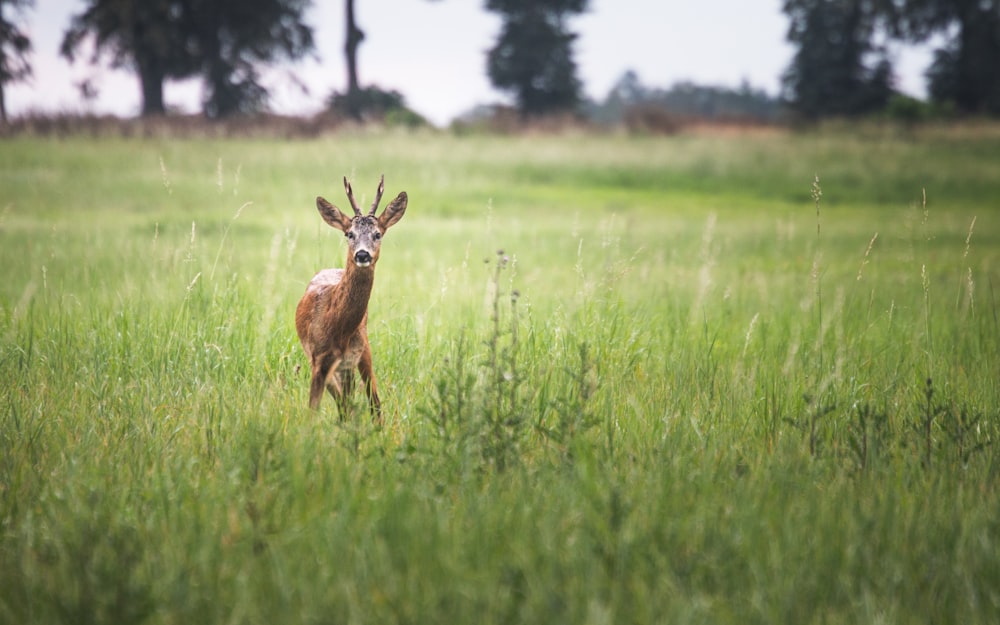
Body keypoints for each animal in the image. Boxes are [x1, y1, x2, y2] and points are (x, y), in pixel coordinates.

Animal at [294, 173, 408, 422]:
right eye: (349, 234)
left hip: (363, 350)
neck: (335, 325)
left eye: (377, 234)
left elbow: (369, 402)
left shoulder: (352, 358)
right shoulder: (318, 360)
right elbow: (313, 410)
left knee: (371, 401)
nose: (362, 254)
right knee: (344, 402)